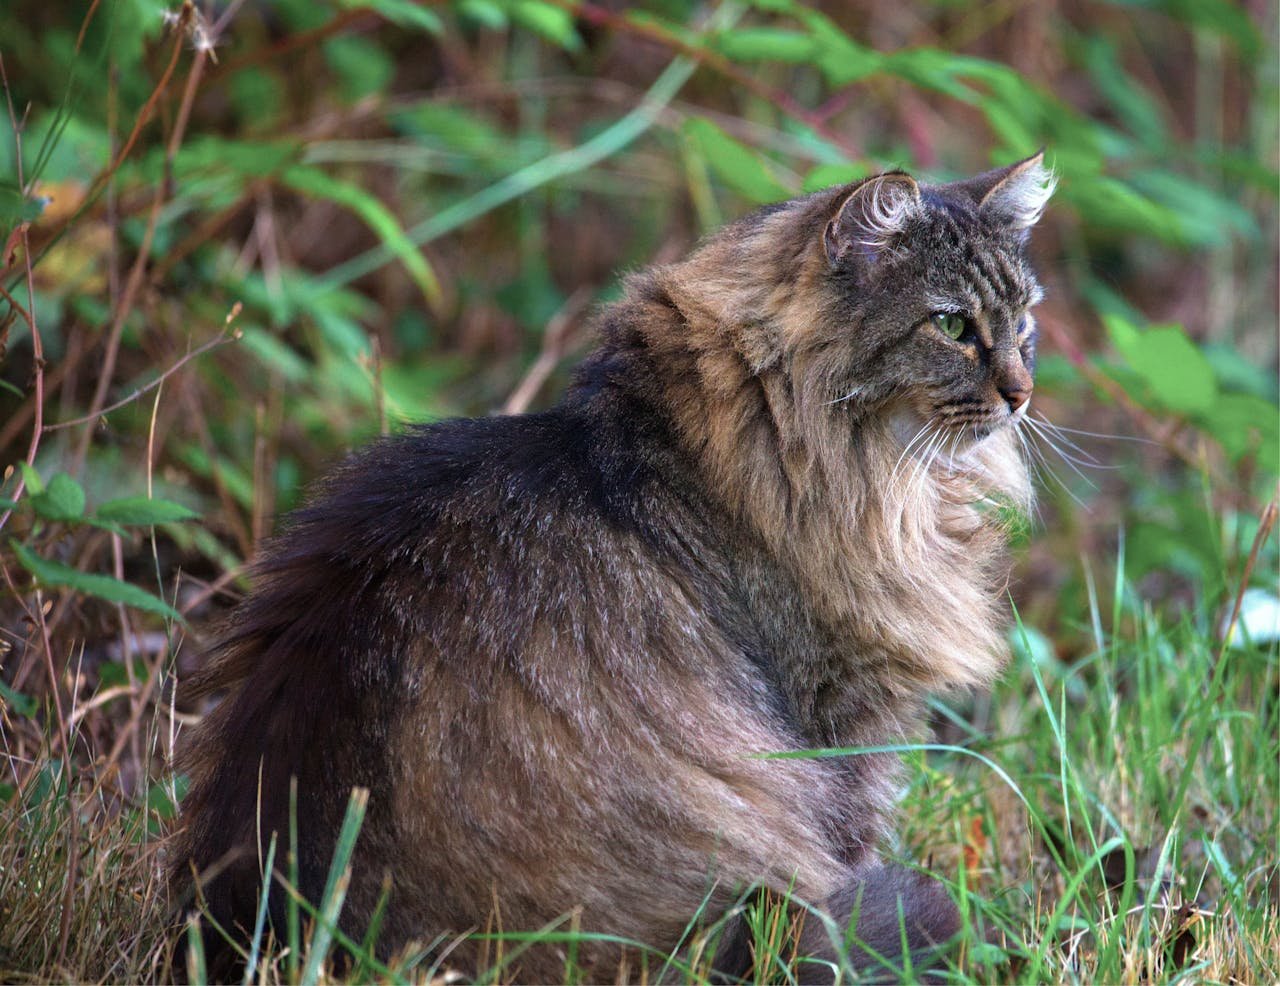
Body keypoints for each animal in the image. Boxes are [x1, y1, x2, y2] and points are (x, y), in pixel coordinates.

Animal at [172, 149, 1049, 978]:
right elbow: (846, 857)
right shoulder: (839, 723)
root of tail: (266, 920)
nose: (1021, 392)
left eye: (1023, 325)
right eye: (952, 325)